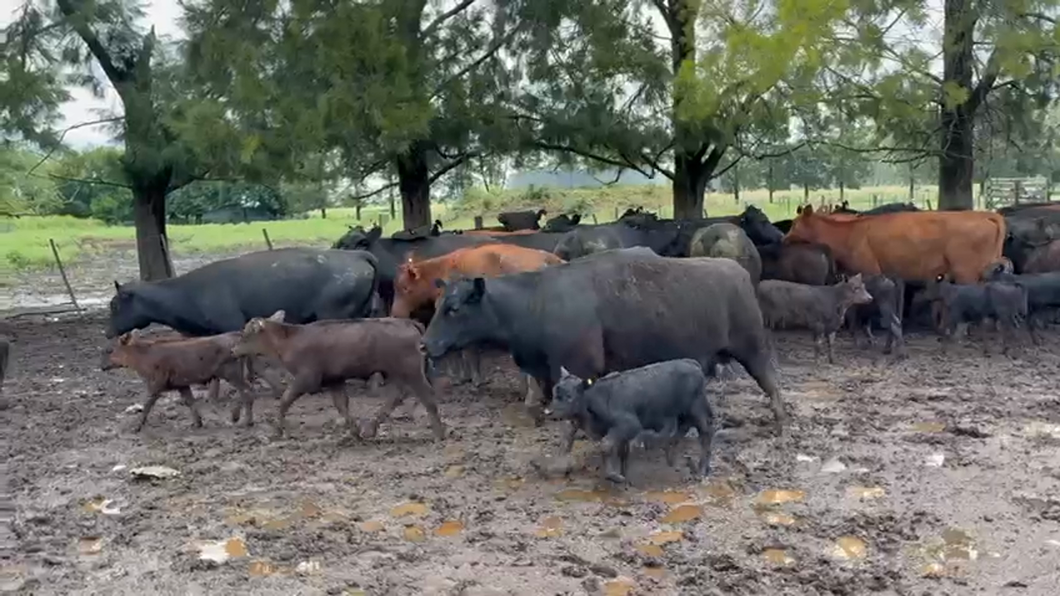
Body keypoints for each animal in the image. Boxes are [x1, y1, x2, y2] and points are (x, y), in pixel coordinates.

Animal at [420, 248, 787, 434]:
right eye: (437, 306)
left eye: (454, 308)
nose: (424, 344)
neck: (537, 299)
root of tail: (735, 269)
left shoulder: (581, 368)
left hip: (751, 347)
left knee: (770, 381)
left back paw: (780, 420)